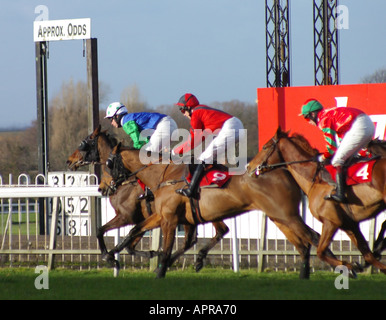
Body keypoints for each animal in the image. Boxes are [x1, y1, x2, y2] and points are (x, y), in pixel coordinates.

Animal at [66, 125, 229, 270]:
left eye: (83, 143)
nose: (69, 160)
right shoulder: (144, 218)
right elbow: (130, 244)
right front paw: (151, 253)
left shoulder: (127, 217)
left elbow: (102, 231)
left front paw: (110, 256)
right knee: (215, 232)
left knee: (217, 231)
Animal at [104, 141, 340, 278]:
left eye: (108, 163)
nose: (108, 187)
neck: (166, 175)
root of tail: (281, 171)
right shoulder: (163, 215)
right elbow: (135, 230)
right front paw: (112, 255)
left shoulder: (169, 218)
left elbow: (167, 246)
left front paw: (159, 267)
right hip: (279, 217)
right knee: (306, 241)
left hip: (286, 215)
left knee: (313, 237)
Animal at [247, 126, 386, 274]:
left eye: (265, 147)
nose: (249, 167)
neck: (315, 179)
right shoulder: (349, 225)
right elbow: (368, 255)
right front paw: (357, 264)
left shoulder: (331, 221)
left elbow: (320, 252)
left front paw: (349, 266)